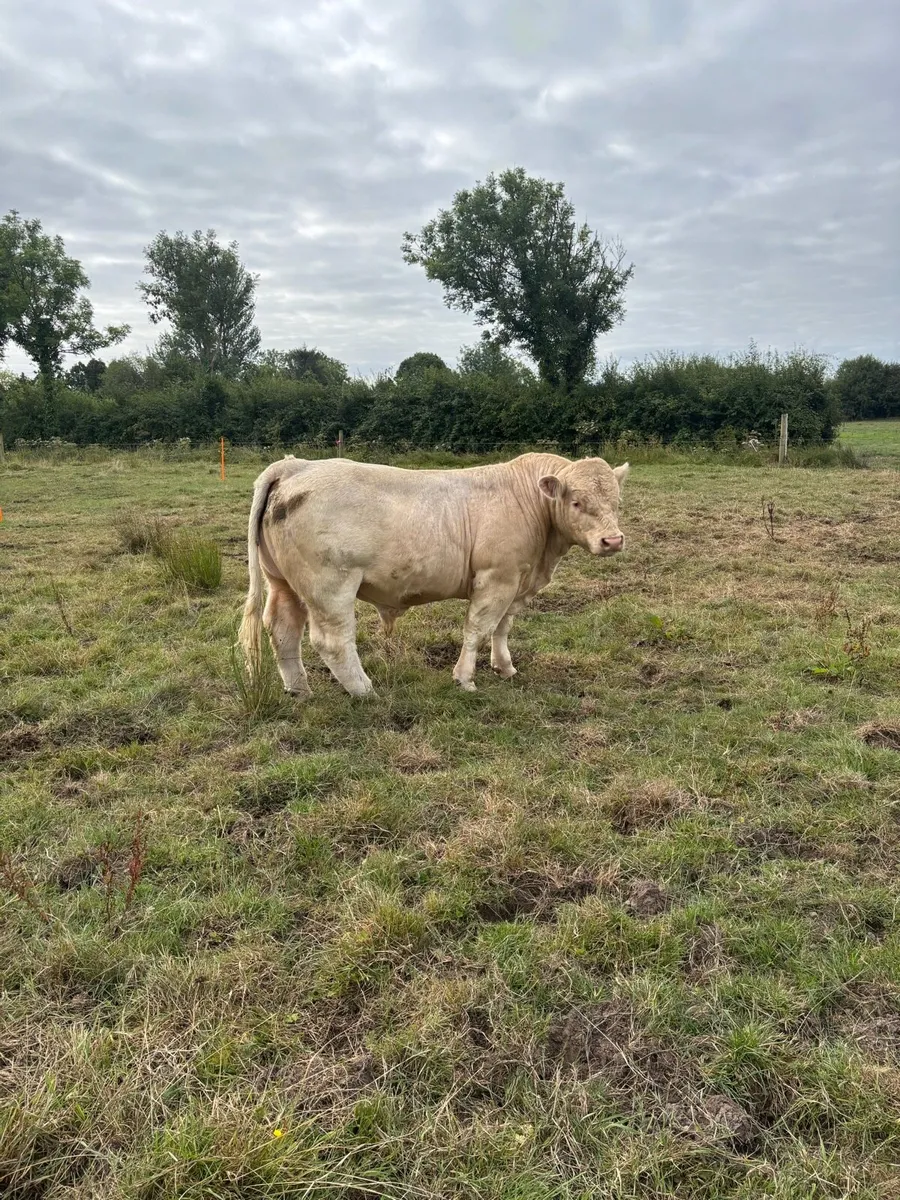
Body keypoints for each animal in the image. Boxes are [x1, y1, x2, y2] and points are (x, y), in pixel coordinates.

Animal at [238, 452, 629, 698]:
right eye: (576, 502)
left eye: (617, 502)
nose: (613, 541)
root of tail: (296, 466)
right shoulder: (495, 578)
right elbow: (478, 628)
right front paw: (465, 679)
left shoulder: (518, 581)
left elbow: (502, 627)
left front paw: (505, 667)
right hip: (329, 586)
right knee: (332, 640)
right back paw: (364, 691)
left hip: (284, 582)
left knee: (283, 629)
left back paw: (299, 689)